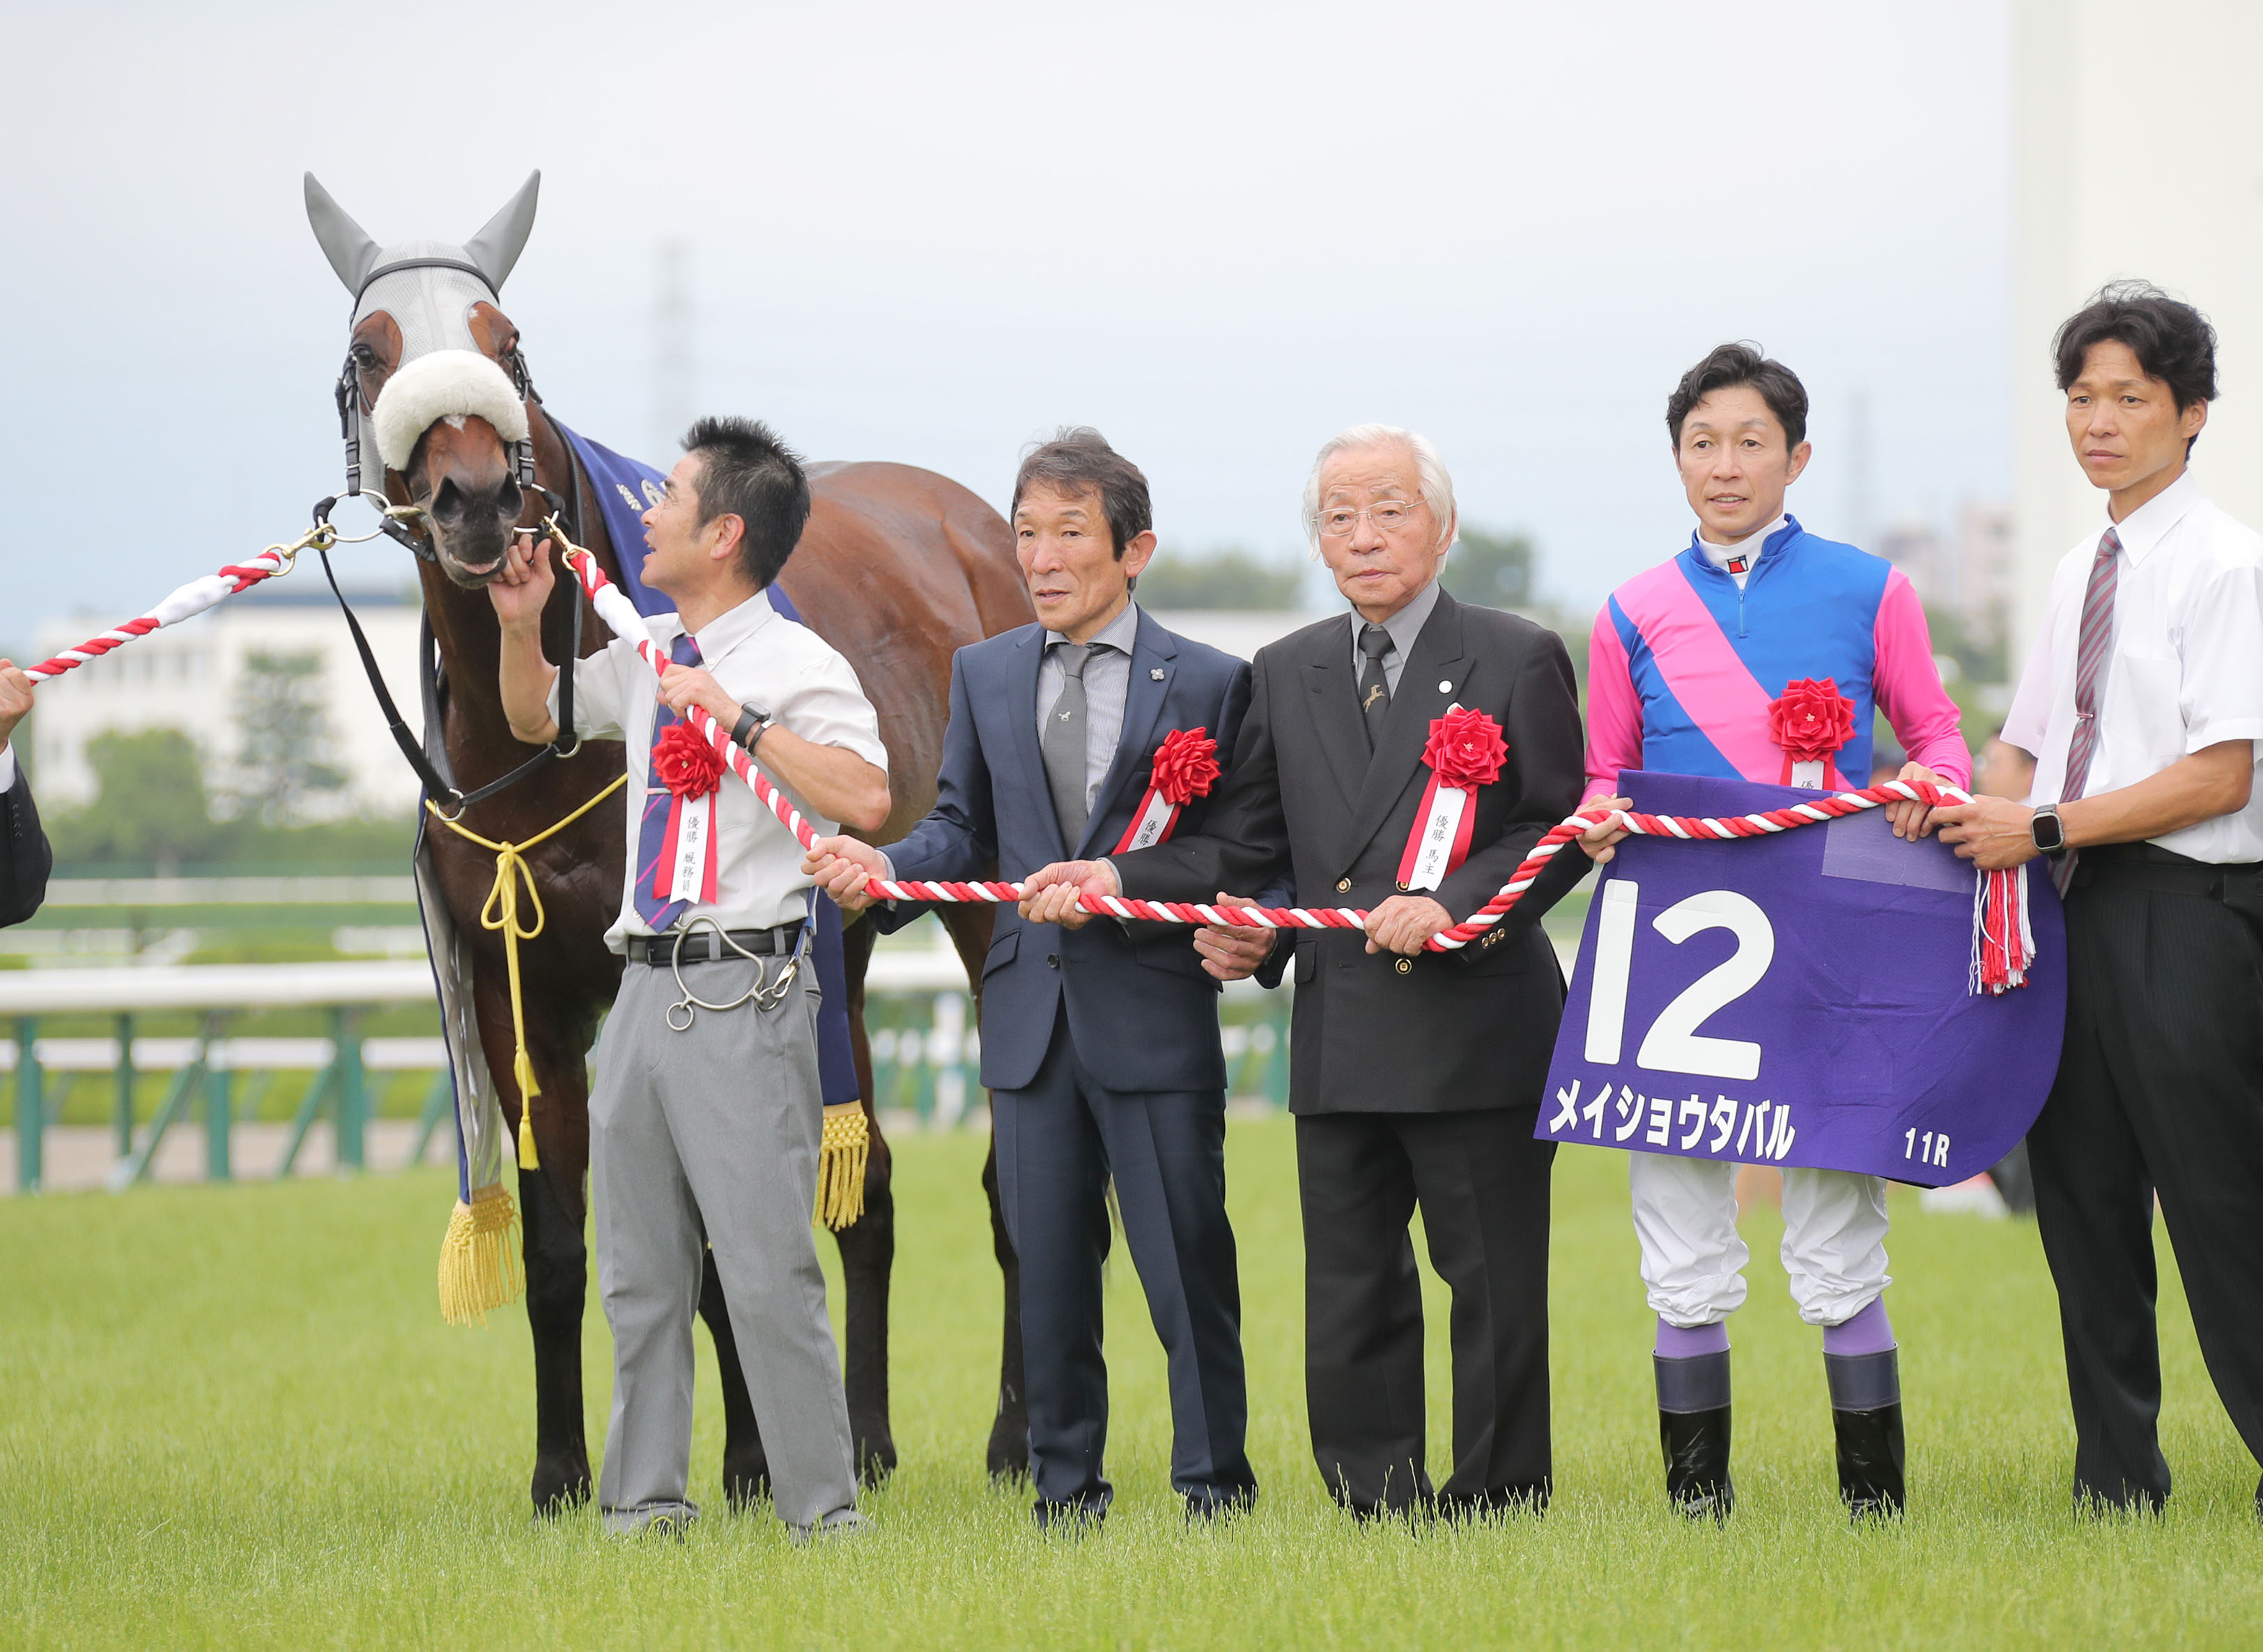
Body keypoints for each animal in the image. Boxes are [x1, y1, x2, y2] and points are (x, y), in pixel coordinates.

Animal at [304, 171, 1036, 1510]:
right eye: (369, 350)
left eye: (505, 341)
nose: (477, 498)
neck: (537, 744)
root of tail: (977, 524)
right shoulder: (521, 988)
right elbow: (559, 1237)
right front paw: (559, 1470)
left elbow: (710, 1237)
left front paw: (747, 1460)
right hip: (840, 946)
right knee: (868, 1191)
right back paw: (865, 1434)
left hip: (984, 905)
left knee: (1013, 1174)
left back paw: (1012, 1437)